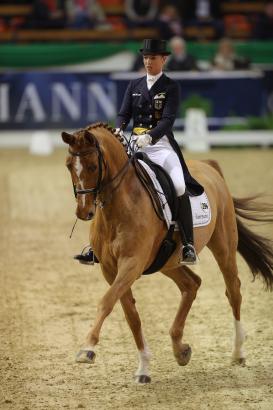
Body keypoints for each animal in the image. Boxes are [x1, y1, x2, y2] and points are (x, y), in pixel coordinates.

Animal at [61, 122, 272, 384]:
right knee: (191, 284)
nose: (84, 212)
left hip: (223, 246)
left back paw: (238, 353)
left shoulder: (131, 264)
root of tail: (208, 166)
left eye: (92, 166)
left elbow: (106, 302)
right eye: (69, 165)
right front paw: (143, 368)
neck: (119, 205)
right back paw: (181, 349)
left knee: (233, 291)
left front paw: (87, 348)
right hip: (168, 262)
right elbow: (131, 315)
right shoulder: (111, 270)